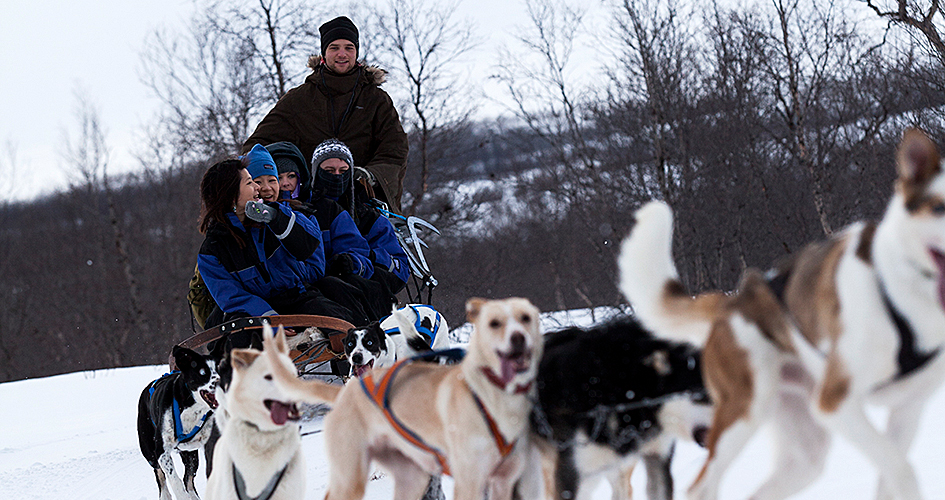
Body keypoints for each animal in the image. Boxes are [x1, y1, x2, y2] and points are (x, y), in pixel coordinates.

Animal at [616, 128, 944, 500]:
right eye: (939, 207)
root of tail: (733, 302)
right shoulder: (835, 403)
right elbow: (902, 471)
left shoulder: (907, 410)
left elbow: (891, 475)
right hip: (743, 412)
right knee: (700, 487)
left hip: (804, 453)